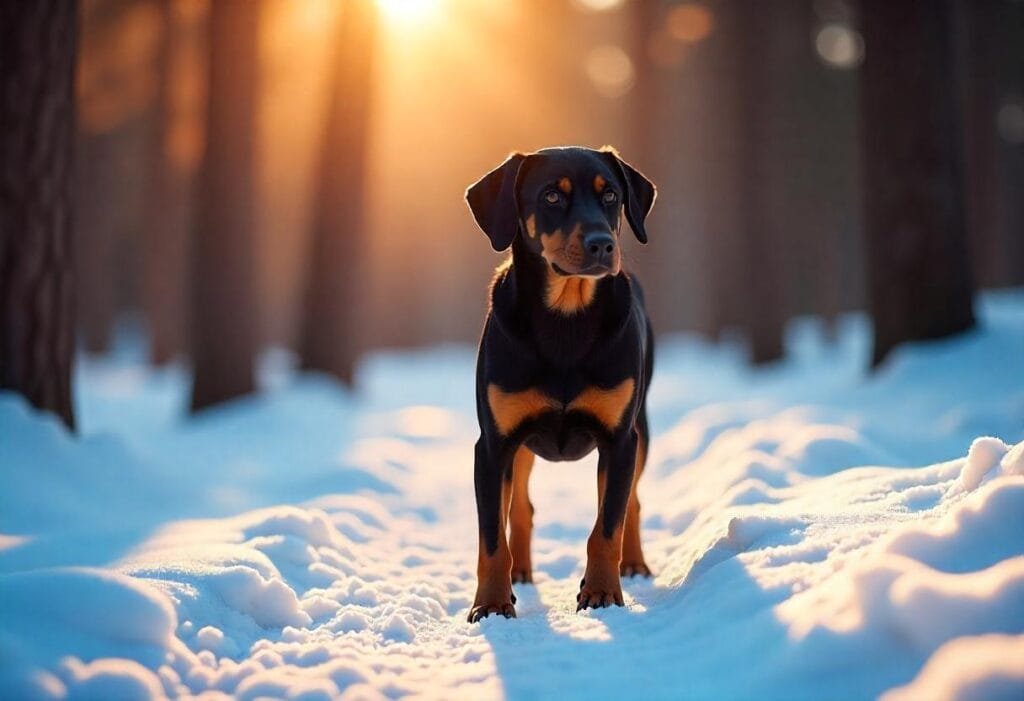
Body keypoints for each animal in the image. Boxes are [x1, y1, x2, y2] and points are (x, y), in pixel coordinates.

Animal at [464, 145, 655, 622]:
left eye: (611, 196)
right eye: (551, 195)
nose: (602, 243)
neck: (565, 321)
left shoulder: (619, 440)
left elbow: (607, 526)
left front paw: (602, 593)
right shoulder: (492, 445)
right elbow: (491, 536)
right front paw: (490, 604)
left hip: (642, 429)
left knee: (632, 502)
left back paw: (634, 564)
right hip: (519, 446)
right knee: (520, 507)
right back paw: (519, 574)